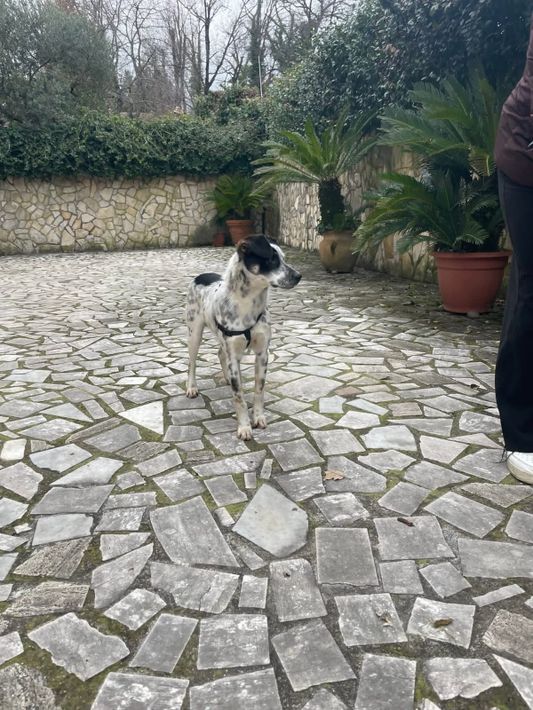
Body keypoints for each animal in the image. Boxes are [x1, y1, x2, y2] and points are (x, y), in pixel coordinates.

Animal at [186, 234, 301, 439]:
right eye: (272, 258)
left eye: (283, 258)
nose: (298, 276)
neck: (248, 304)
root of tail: (200, 276)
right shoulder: (234, 354)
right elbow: (238, 396)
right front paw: (244, 426)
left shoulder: (262, 353)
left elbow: (258, 389)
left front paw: (258, 418)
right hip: (195, 333)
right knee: (192, 362)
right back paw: (192, 387)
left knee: (220, 353)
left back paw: (226, 377)